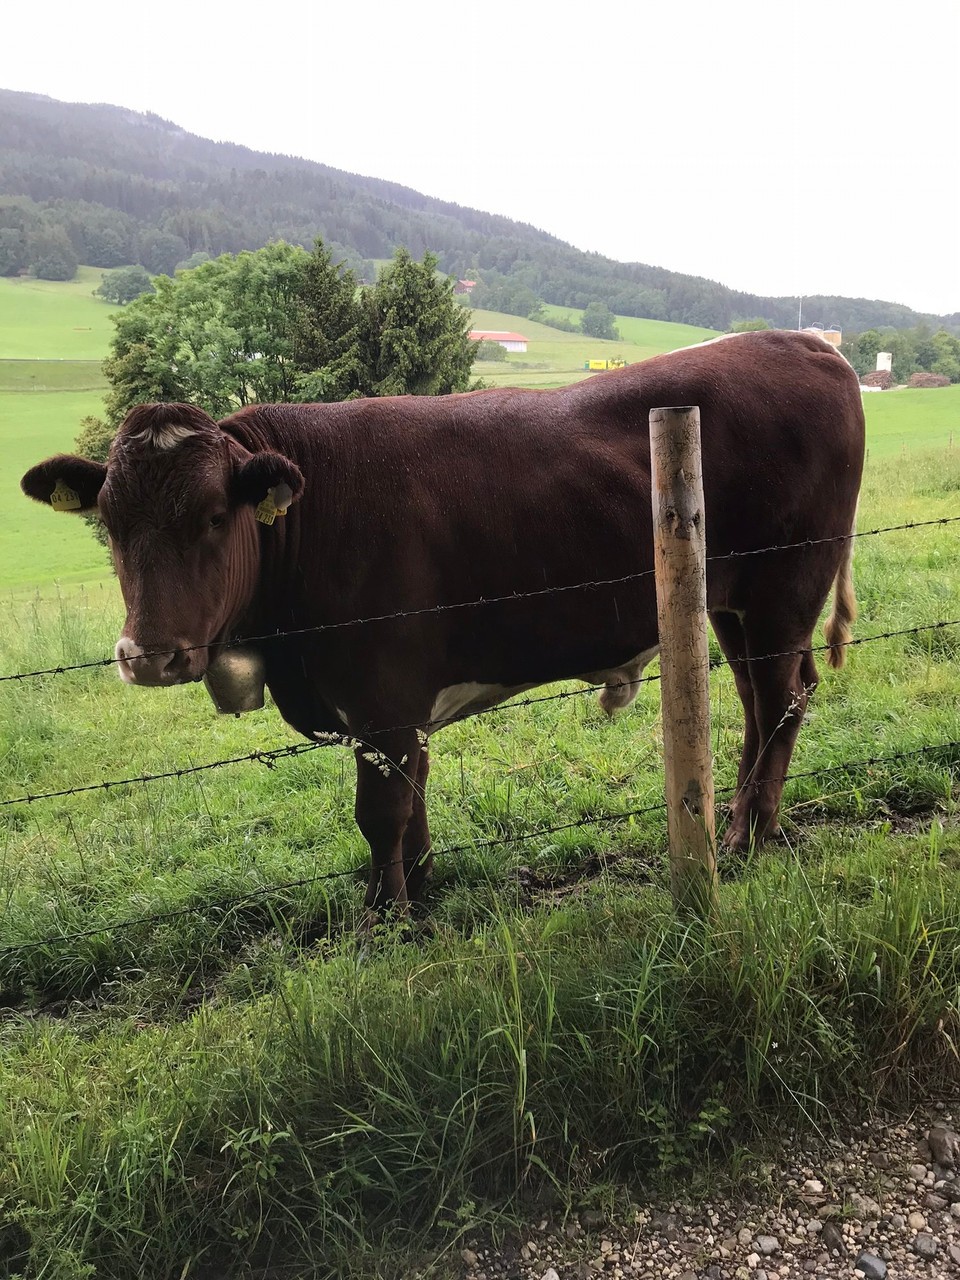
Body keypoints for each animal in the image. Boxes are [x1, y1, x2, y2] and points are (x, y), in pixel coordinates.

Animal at [22, 330, 865, 911]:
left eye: (211, 516)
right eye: (108, 520)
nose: (149, 655)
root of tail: (802, 342)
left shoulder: (381, 698)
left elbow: (379, 812)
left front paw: (383, 915)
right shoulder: (400, 705)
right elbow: (414, 798)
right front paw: (421, 886)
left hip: (785, 588)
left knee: (781, 698)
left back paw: (746, 834)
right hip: (733, 604)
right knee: (762, 700)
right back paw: (748, 821)